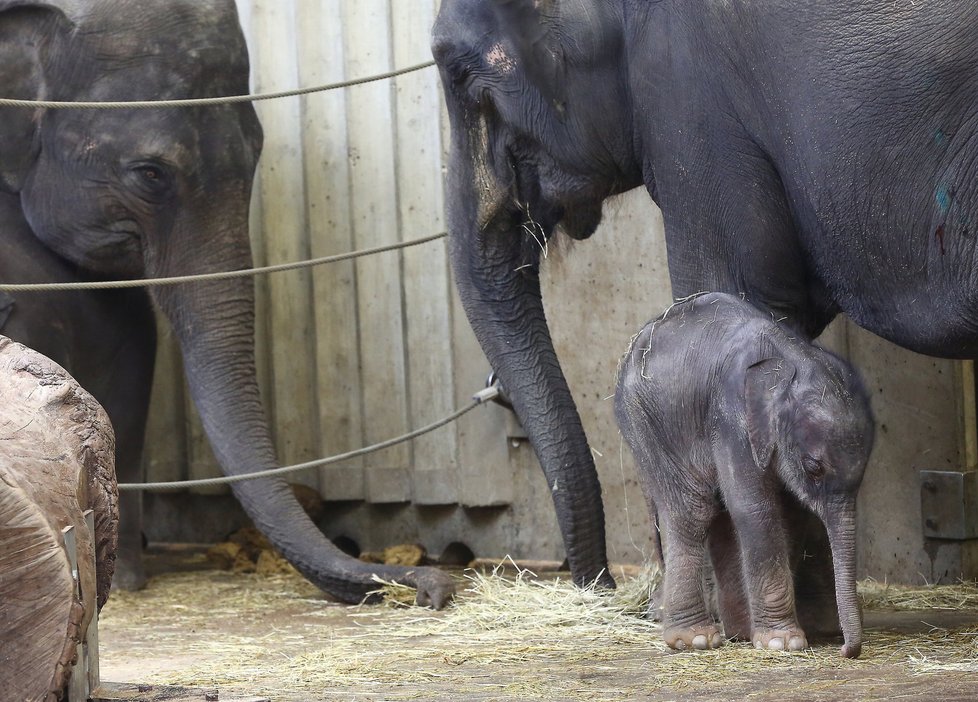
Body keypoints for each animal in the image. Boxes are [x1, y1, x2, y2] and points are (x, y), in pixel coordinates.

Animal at [612, 292, 872, 660]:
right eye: (814, 468)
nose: (846, 650)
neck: (790, 358)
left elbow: (793, 515)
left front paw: (776, 635)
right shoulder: (732, 418)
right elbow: (755, 510)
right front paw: (783, 643)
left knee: (715, 513)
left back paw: (737, 631)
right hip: (644, 422)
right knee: (692, 510)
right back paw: (695, 640)